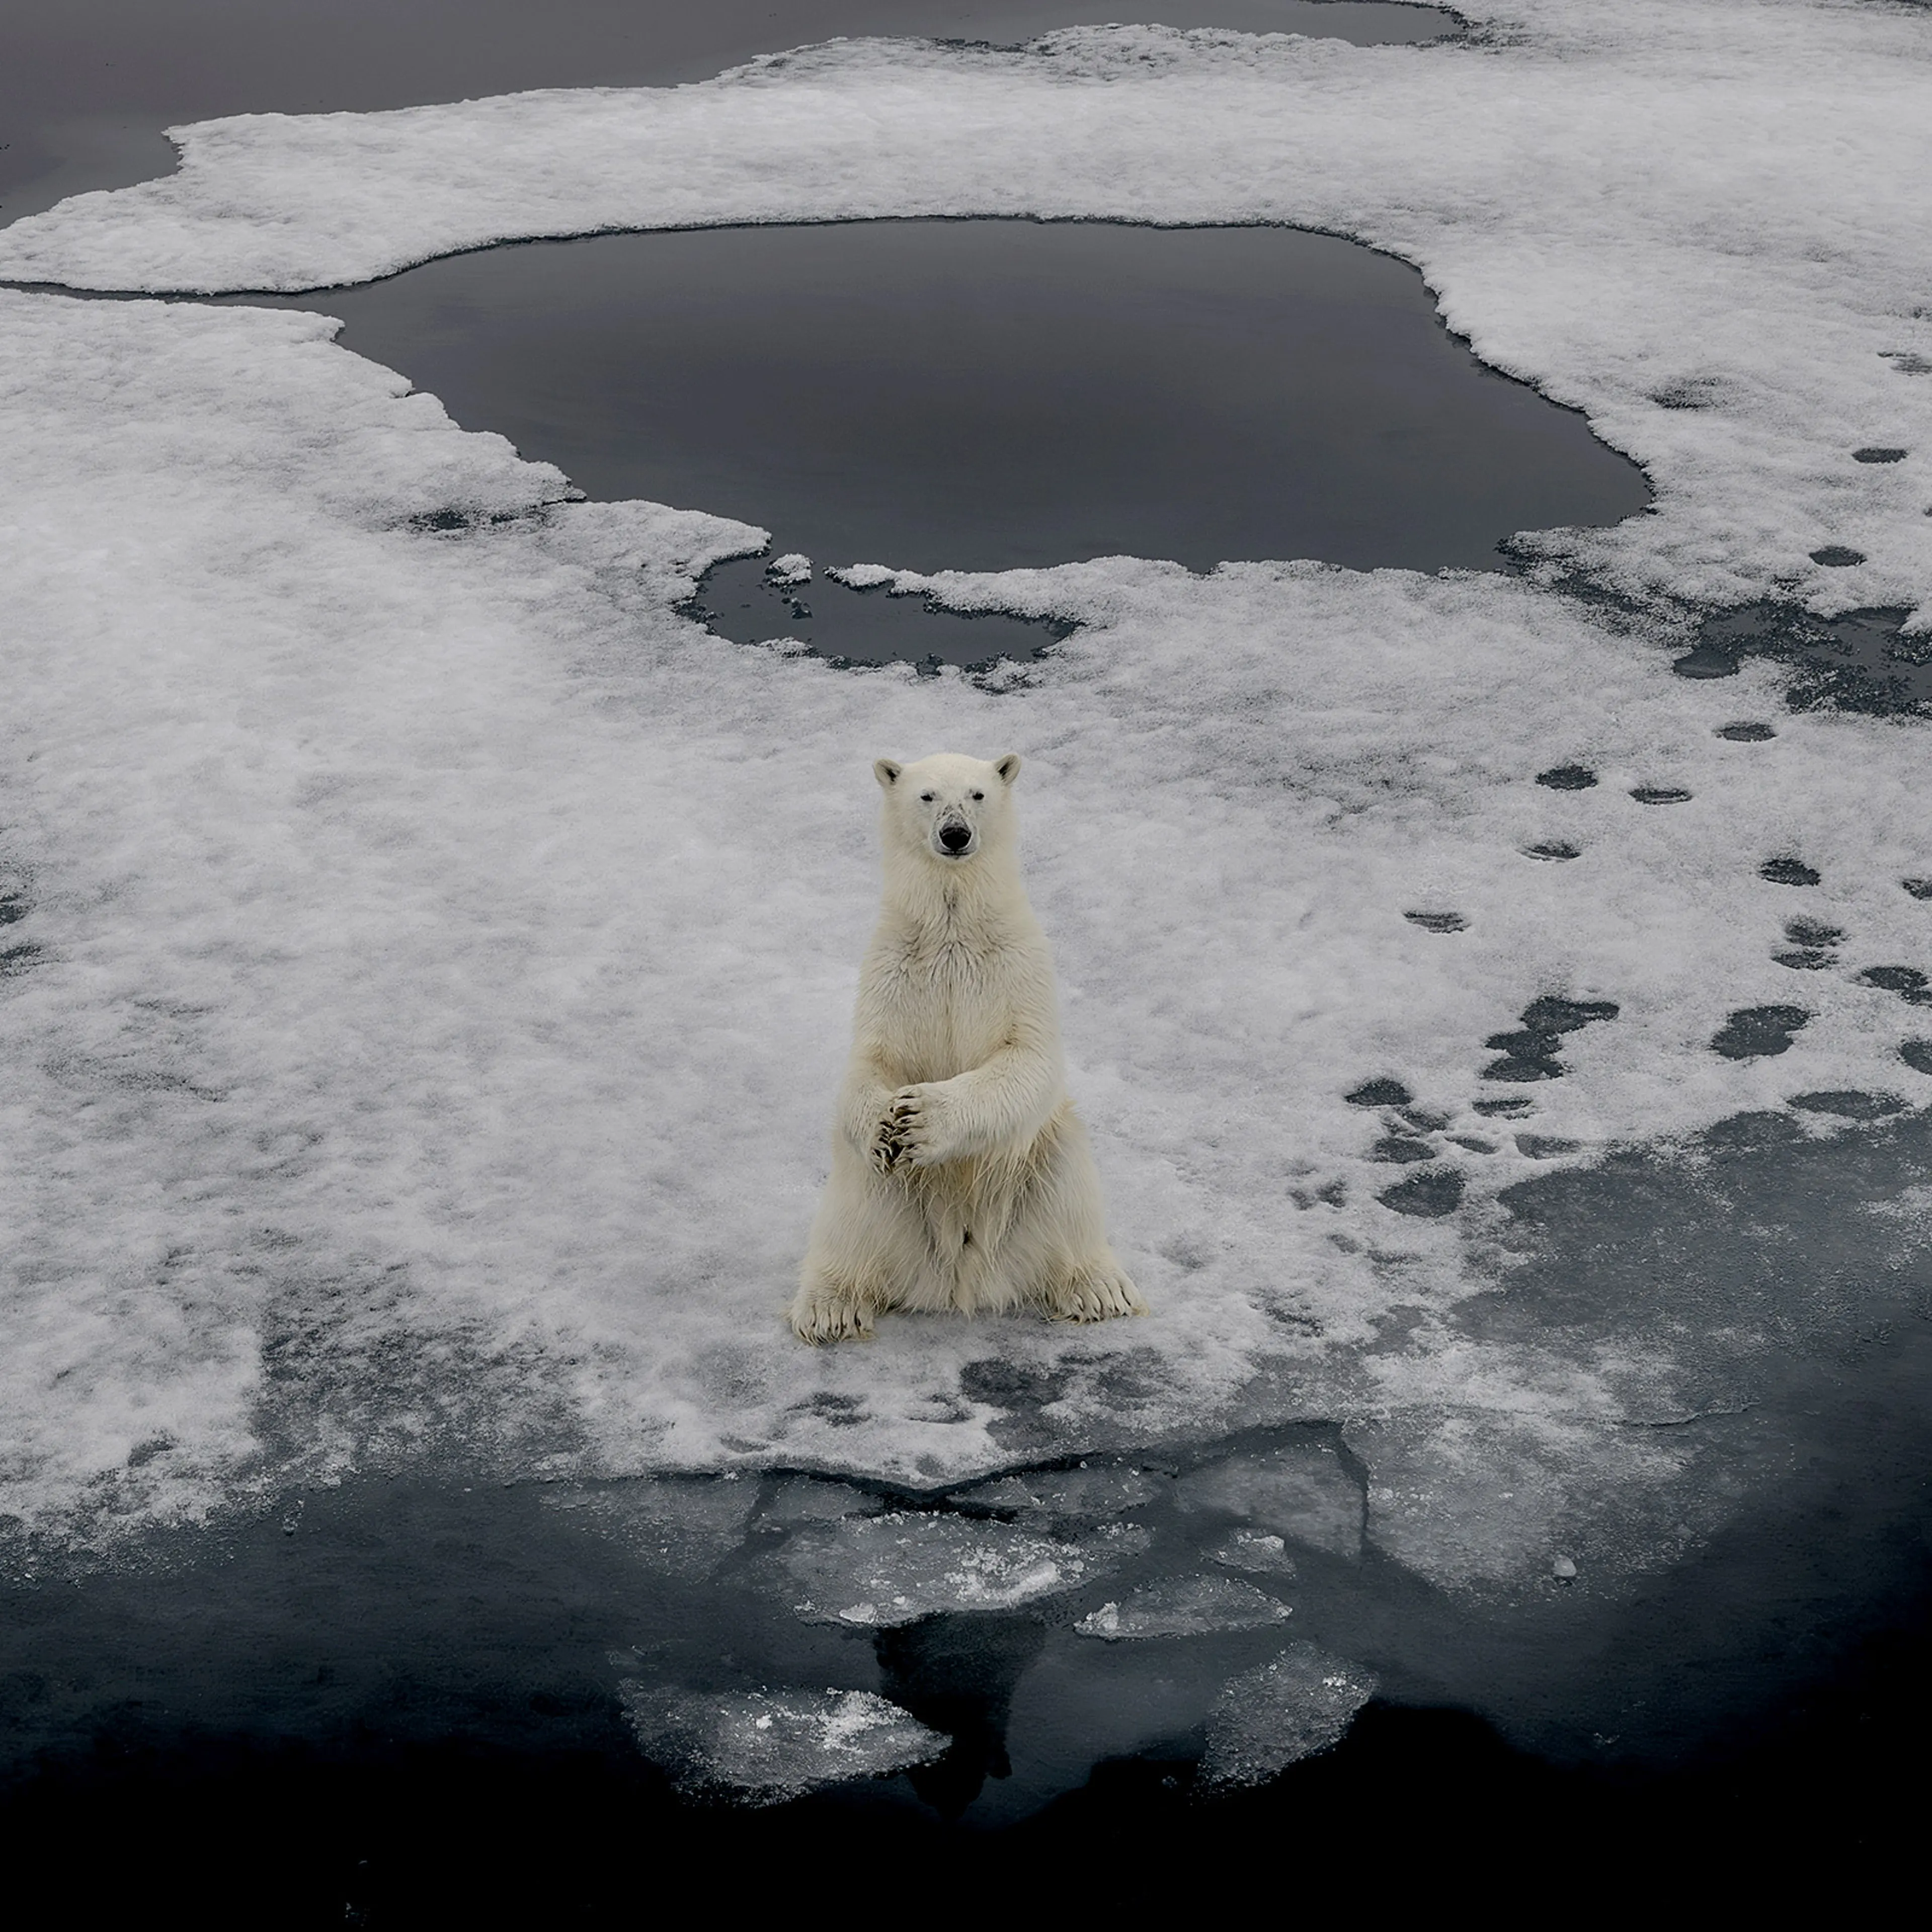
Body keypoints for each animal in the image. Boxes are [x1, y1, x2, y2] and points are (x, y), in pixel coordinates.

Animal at [790, 750, 1146, 1344]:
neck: (953, 930)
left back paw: (1100, 1288)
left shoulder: (1017, 962)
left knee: (1067, 1182)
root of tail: (960, 1276)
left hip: (1037, 1165)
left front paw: (920, 1119)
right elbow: (871, 1061)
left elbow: (1029, 1059)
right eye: (927, 795)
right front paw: (886, 1125)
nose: (955, 835)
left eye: (978, 794)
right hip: (887, 1201)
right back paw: (829, 1305)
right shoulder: (894, 969)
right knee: (855, 1204)